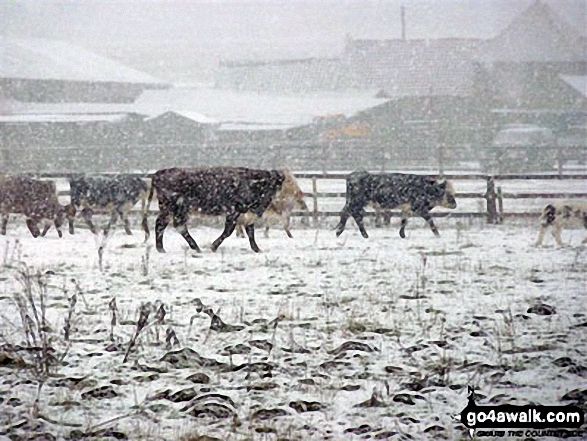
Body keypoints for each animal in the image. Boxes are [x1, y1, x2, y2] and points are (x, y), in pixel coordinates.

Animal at [143, 167, 290, 253]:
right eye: (266, 186)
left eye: (275, 187)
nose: (262, 207)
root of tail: (159, 173)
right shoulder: (233, 212)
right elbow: (228, 231)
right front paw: (213, 246)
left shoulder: (247, 214)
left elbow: (250, 232)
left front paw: (257, 249)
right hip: (176, 208)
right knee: (175, 225)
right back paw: (194, 248)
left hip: (170, 210)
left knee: (162, 224)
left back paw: (162, 248)